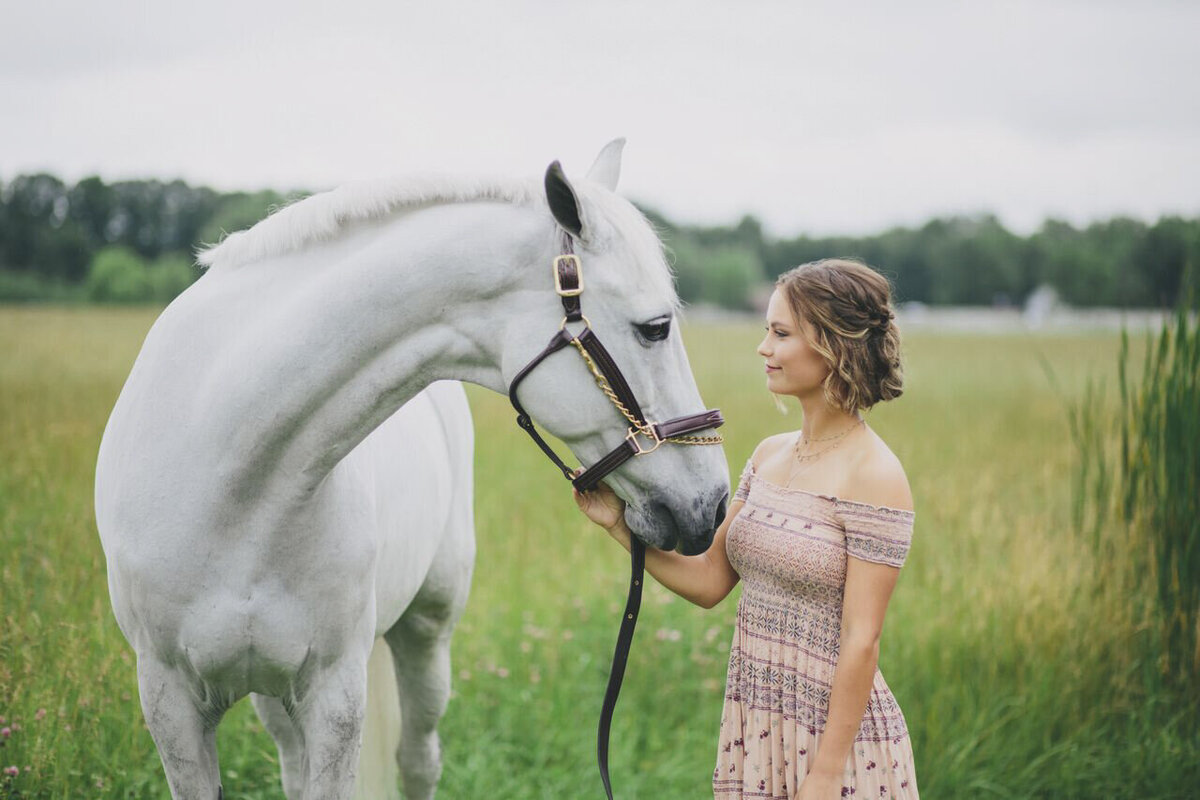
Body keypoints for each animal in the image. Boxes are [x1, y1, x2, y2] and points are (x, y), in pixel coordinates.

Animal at [93, 142, 724, 800]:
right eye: (655, 327)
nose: (712, 503)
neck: (234, 486)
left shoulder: (334, 694)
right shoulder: (171, 702)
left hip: (425, 634)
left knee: (417, 759)